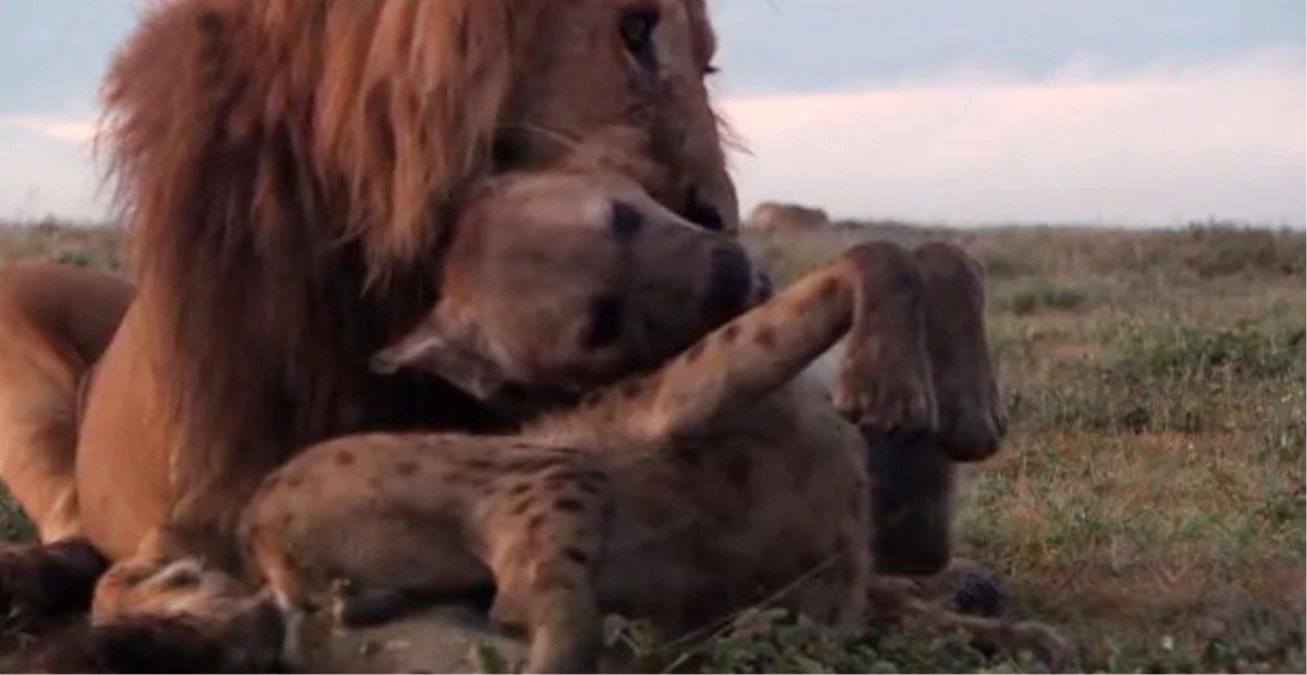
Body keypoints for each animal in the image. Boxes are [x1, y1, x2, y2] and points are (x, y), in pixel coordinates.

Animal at [30, 170, 1066, 675]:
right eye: (598, 322)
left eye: (623, 215)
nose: (730, 270)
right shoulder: (682, 392)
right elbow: (865, 257)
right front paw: (900, 373)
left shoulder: (883, 545)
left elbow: (939, 259)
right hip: (529, 494)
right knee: (547, 608)